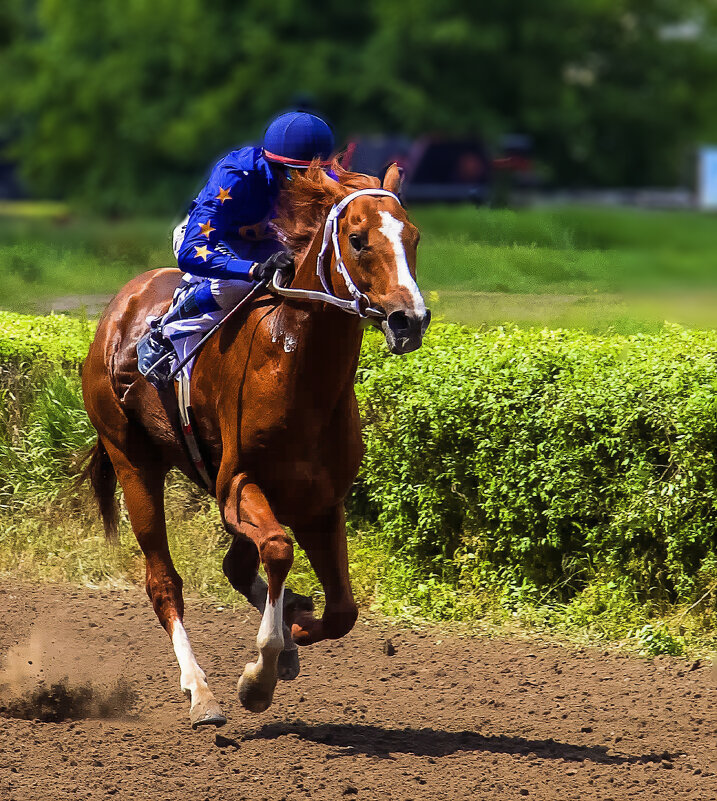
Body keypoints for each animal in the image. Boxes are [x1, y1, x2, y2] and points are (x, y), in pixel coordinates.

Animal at [82, 161, 430, 724]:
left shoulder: (320, 502)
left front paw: (295, 630)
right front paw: (260, 674)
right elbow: (279, 549)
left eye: (414, 236)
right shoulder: (237, 485)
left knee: (236, 567)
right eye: (357, 240)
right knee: (164, 582)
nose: (410, 320)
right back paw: (200, 692)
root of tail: (119, 307)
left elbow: (342, 611)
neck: (296, 367)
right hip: (132, 461)